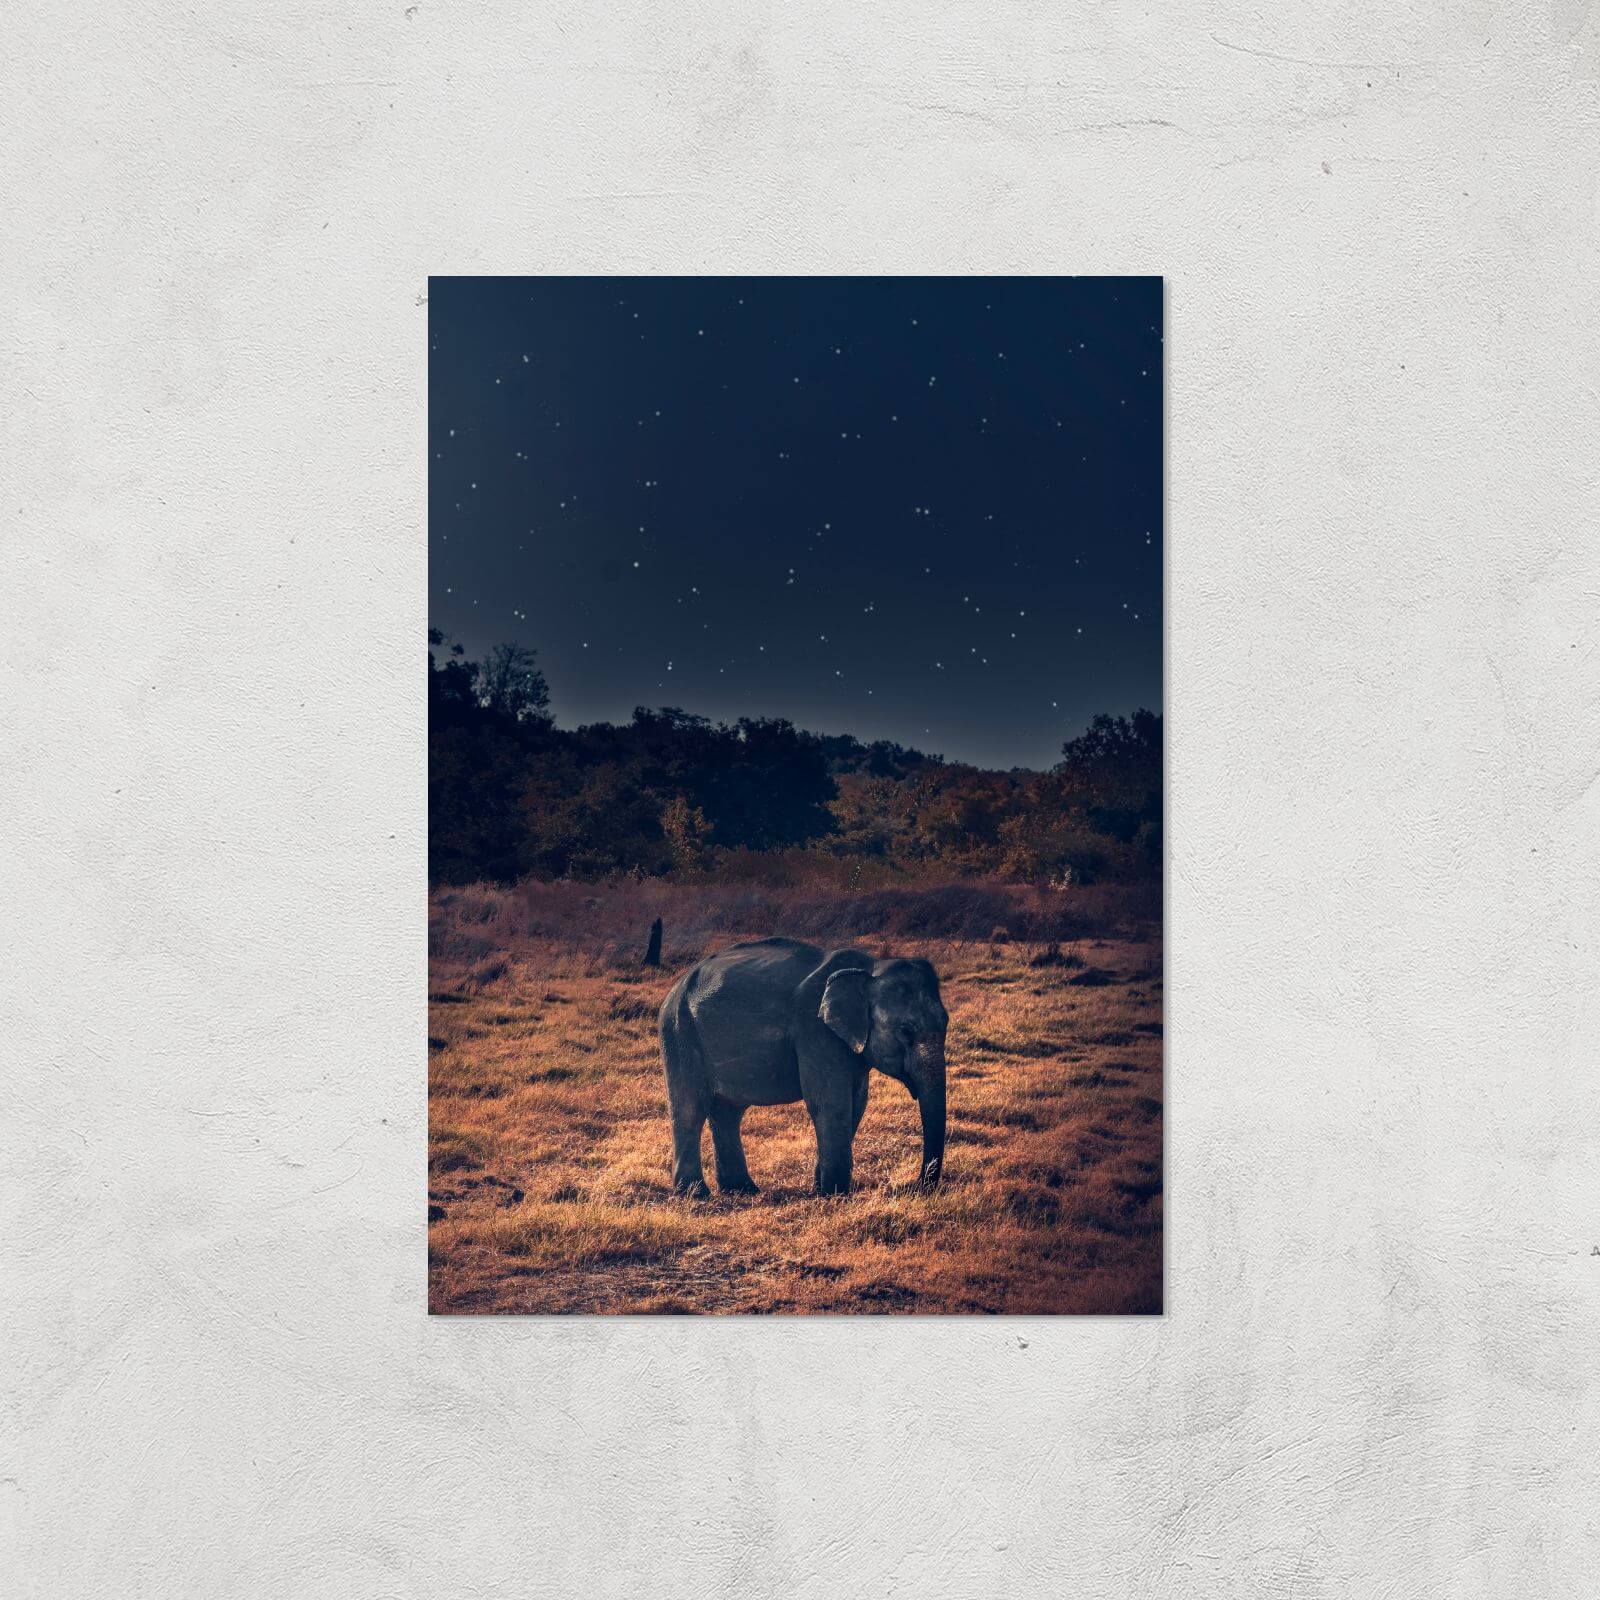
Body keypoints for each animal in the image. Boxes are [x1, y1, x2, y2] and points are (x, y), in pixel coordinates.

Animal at [658, 937, 948, 1198]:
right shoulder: (814, 1031)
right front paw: (834, 1194)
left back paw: (741, 1190)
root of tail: (677, 987)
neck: (869, 968)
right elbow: (830, 1102)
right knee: (690, 1107)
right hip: (679, 1031)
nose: (918, 1187)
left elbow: (856, 1103)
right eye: (906, 1030)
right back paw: (696, 1194)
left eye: (946, 1023)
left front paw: (821, 1189)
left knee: (727, 1111)